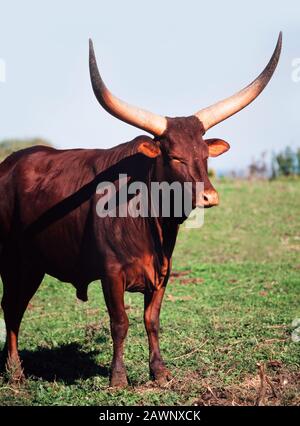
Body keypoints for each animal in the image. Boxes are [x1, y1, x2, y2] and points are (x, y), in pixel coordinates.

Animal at [0, 33, 282, 386]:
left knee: (15, 306)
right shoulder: (111, 273)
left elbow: (152, 320)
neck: (151, 220)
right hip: (13, 261)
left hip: (33, 263)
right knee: (11, 307)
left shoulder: (162, 274)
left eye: (205, 155)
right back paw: (14, 370)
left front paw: (159, 371)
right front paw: (118, 378)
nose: (209, 197)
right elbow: (120, 322)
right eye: (174, 156)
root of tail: (10, 162)